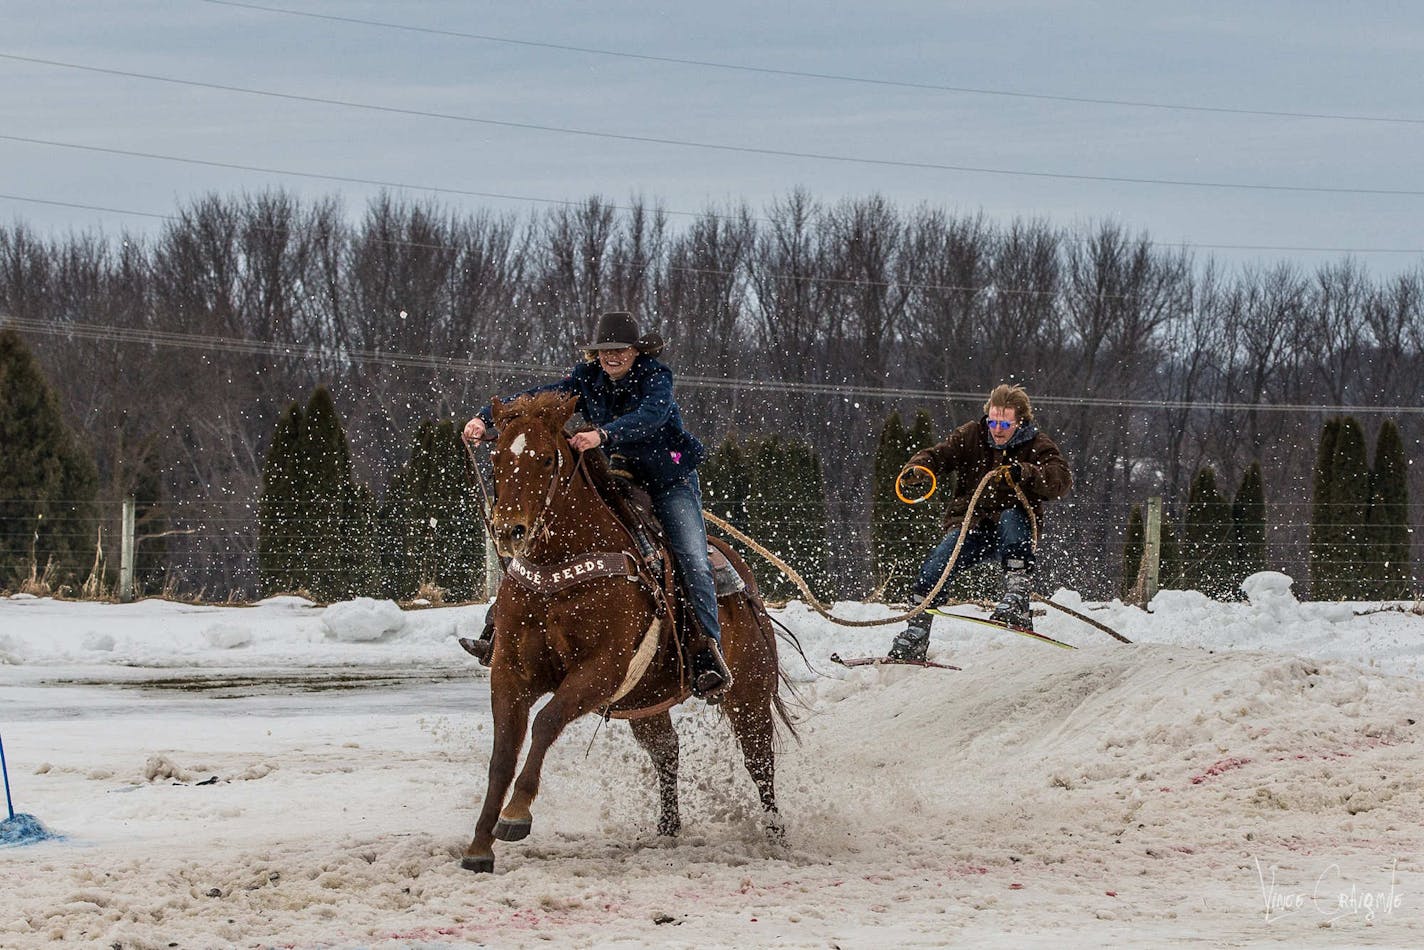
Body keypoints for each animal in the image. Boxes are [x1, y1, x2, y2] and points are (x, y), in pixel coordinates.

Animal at [461, 390, 797, 871]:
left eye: (545, 459)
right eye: (496, 457)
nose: (509, 530)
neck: (559, 566)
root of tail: (746, 582)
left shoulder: (601, 670)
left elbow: (546, 722)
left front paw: (515, 814)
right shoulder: (510, 671)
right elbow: (502, 754)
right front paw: (478, 846)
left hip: (748, 691)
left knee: (759, 761)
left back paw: (775, 837)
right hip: (646, 702)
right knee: (667, 751)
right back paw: (668, 829)